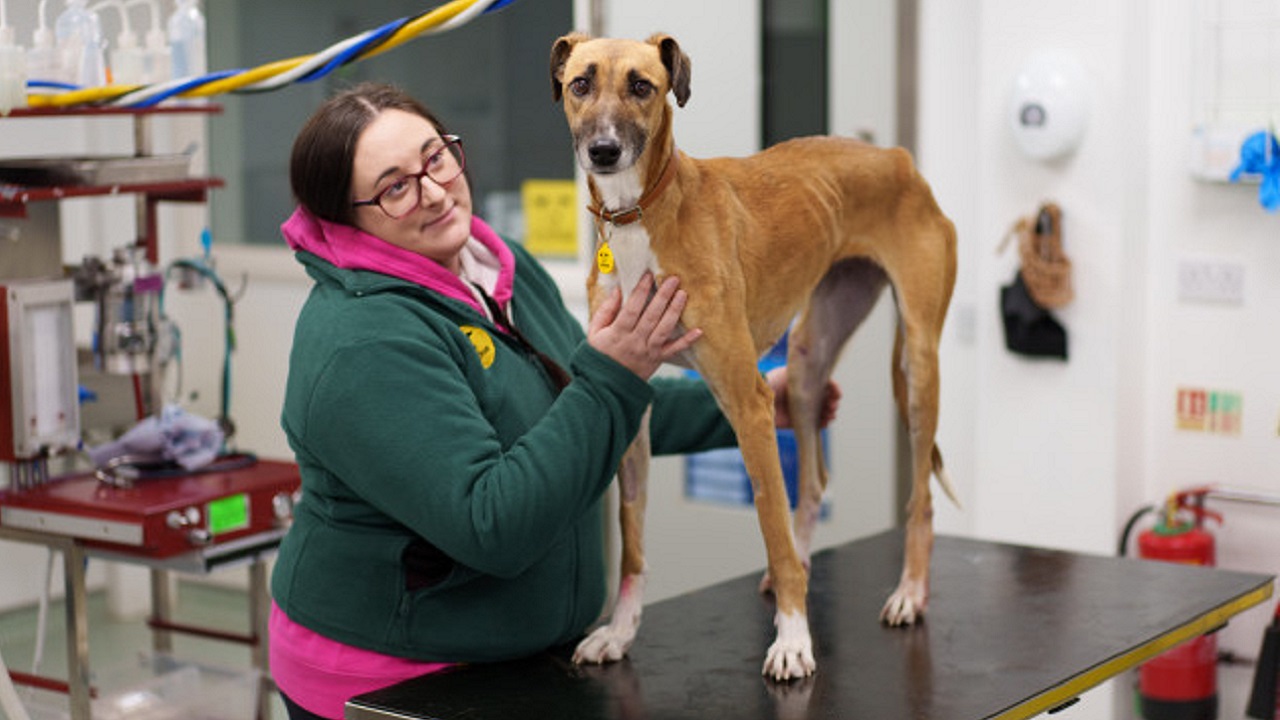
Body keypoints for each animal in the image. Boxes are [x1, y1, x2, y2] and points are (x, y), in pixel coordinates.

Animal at [550, 32, 962, 676]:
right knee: (814, 482)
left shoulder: (748, 401)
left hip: (917, 364)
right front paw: (618, 633)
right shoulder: (630, 403)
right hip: (809, 358)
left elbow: (770, 520)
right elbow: (633, 544)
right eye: (580, 83)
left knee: (919, 499)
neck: (643, 213)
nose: (603, 152)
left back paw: (909, 593)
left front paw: (792, 640)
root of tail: (897, 157)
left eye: (642, 85)